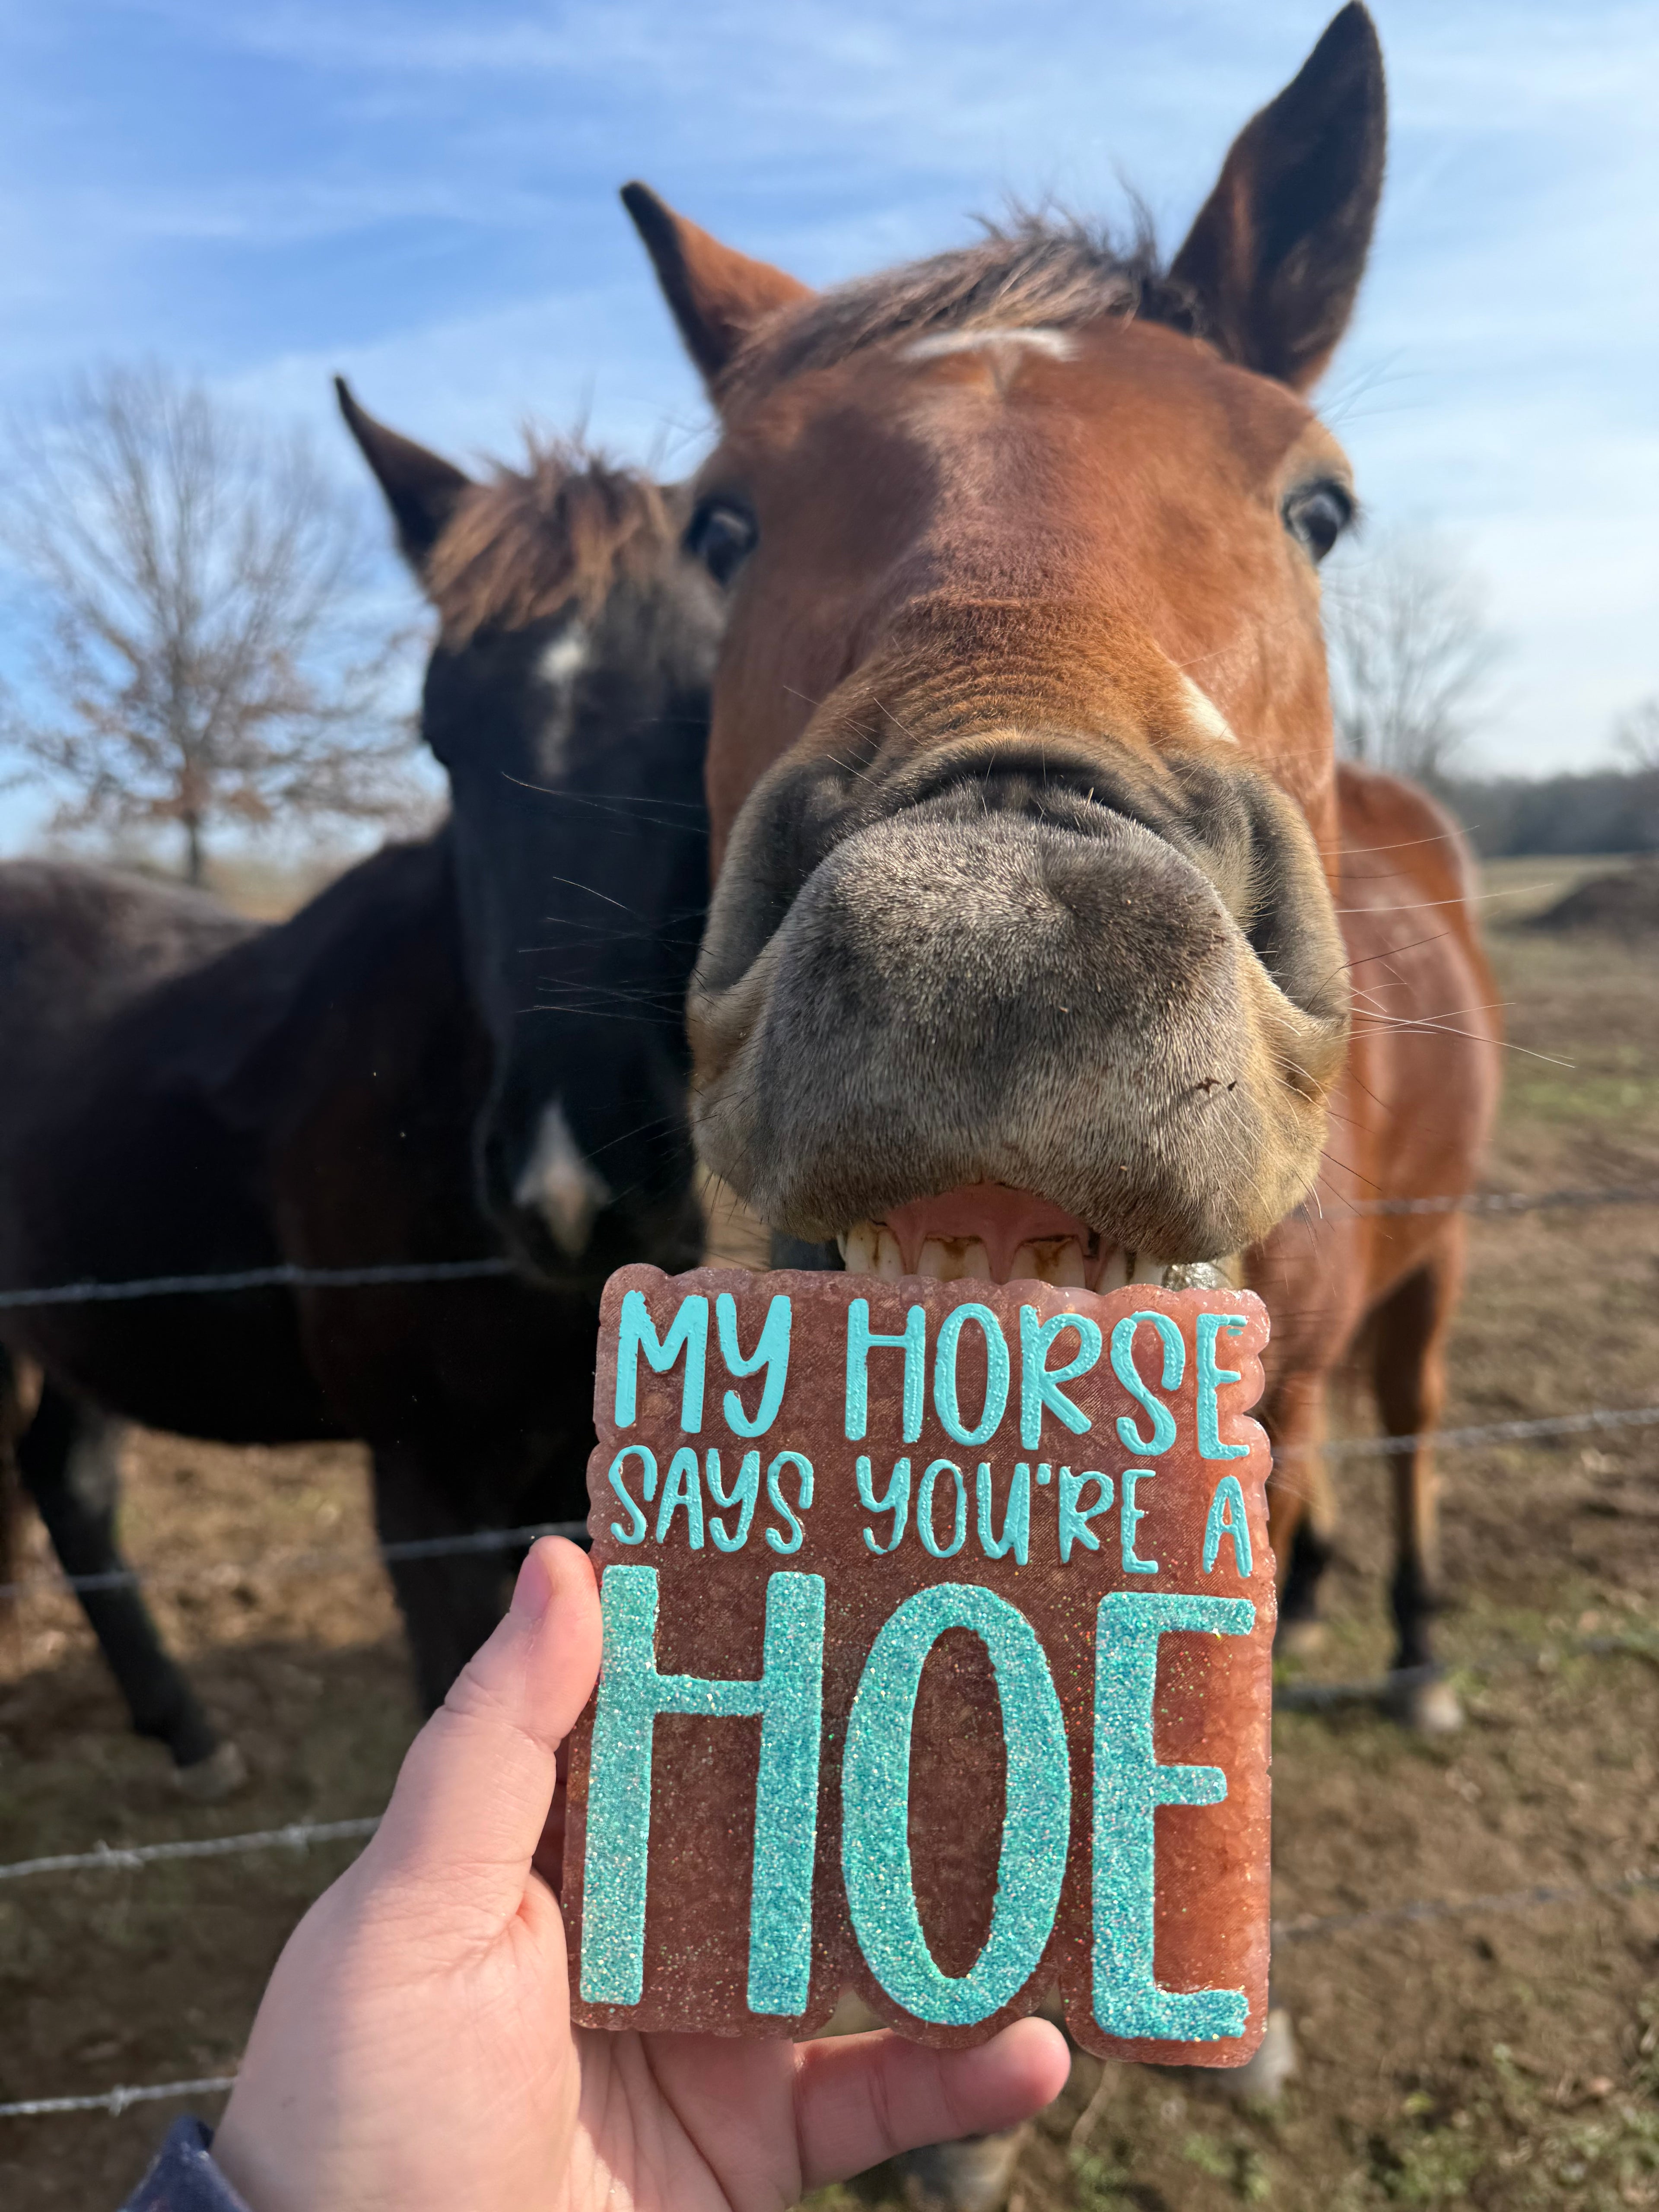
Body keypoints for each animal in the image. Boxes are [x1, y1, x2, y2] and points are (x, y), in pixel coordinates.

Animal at [0, 388, 721, 1794]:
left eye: (697, 713)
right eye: (440, 737)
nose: (570, 1180)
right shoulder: (425, 1488)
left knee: (68, 1480)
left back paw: (187, 1730)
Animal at [618, 6, 1499, 2189]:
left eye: (1319, 507)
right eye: (723, 522)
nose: (999, 937)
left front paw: (1227, 2020)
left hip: (1439, 1270)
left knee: (1411, 1425)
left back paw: (1415, 1647)